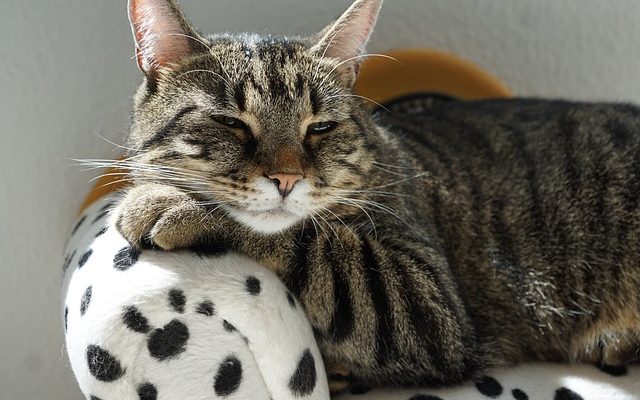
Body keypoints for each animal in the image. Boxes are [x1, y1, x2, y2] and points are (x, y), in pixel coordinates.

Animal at [112, 0, 640, 390]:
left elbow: (314, 243)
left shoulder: (425, 300)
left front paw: (164, 202)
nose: (286, 178)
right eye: (229, 123)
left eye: (320, 128)